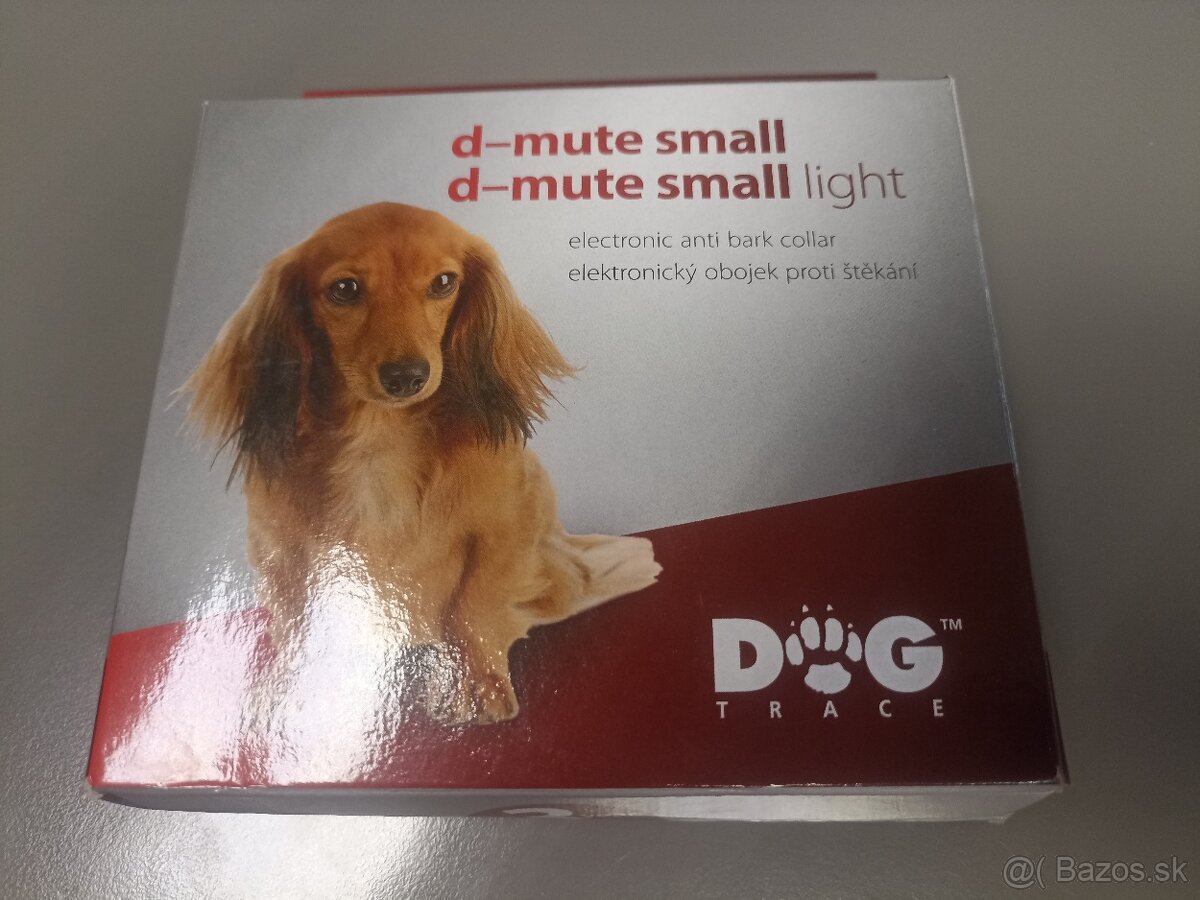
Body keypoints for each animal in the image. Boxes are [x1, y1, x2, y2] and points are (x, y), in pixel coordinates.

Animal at [185, 202, 660, 724]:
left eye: (443, 282)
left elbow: (474, 605)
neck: (379, 438)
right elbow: (295, 624)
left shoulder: (506, 526)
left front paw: (479, 683)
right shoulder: (281, 551)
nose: (407, 377)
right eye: (344, 289)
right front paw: (284, 693)